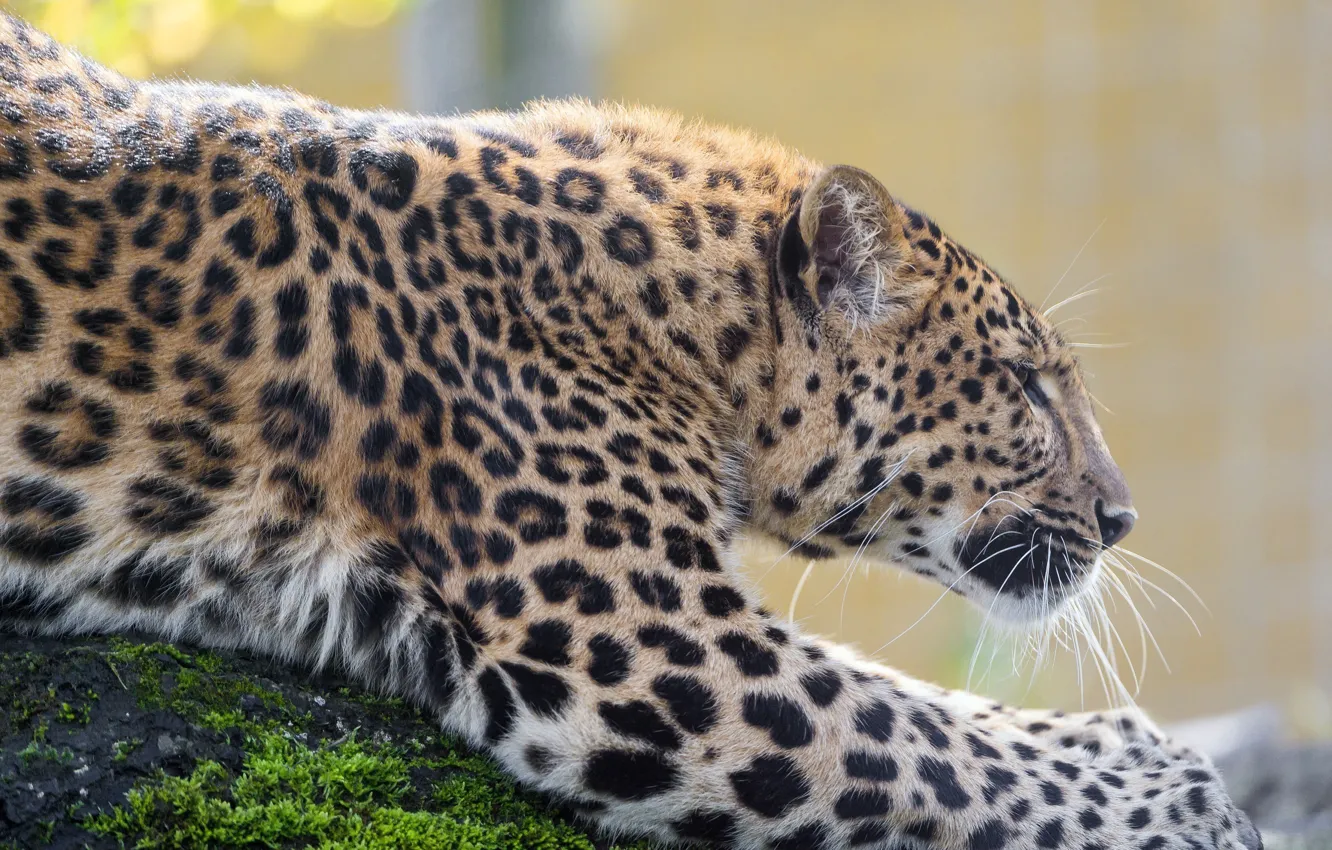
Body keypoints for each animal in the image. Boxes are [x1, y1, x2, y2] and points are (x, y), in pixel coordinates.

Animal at [0, 13, 1261, 850]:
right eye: (1027, 385)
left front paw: (1146, 747)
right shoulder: (655, 645)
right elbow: (921, 739)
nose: (1122, 516)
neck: (691, 326)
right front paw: (1186, 802)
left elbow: (933, 702)